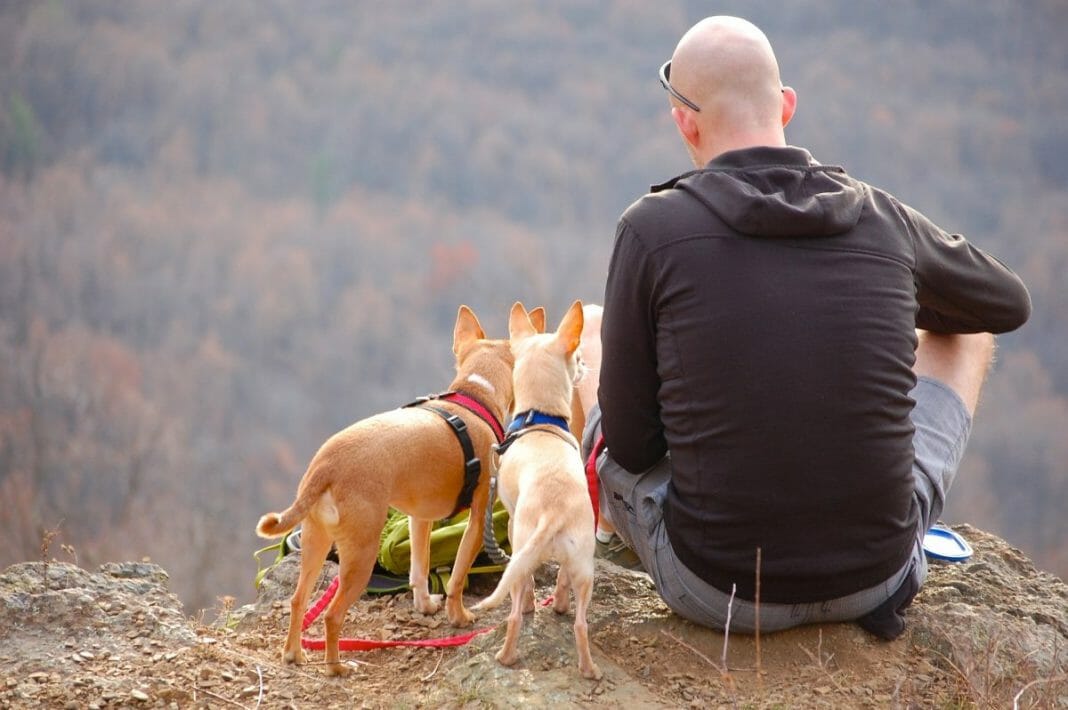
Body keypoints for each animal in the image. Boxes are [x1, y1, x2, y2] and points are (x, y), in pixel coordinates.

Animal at [254, 305, 512, 674]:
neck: (474, 397)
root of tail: (326, 466)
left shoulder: (420, 519)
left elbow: (419, 568)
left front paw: (425, 605)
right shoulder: (478, 518)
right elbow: (458, 576)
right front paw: (459, 616)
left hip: (317, 541)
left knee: (298, 599)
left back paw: (294, 654)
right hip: (360, 554)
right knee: (332, 615)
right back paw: (337, 667)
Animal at [474, 298, 602, 674]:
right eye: (577, 357)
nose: (585, 364)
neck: (539, 419)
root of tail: (553, 512)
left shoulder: (511, 519)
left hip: (521, 550)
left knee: (516, 611)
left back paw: (506, 656)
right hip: (583, 565)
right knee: (580, 621)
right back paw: (588, 668)